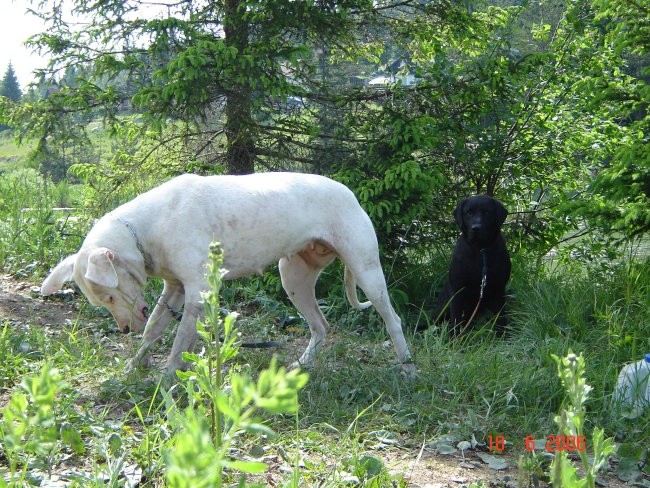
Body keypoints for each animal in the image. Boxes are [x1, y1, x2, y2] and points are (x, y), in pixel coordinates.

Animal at [40, 173, 412, 376]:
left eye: (109, 294)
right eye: (102, 301)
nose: (123, 330)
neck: (148, 228)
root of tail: (349, 193)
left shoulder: (196, 294)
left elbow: (179, 341)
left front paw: (168, 376)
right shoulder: (174, 289)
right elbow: (154, 328)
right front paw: (135, 365)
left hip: (366, 272)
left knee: (393, 320)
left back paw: (407, 367)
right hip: (293, 278)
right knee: (320, 325)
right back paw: (301, 366)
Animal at [432, 194, 508, 336]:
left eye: (486, 212)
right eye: (469, 212)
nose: (476, 228)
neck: (480, 250)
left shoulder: (499, 289)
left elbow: (501, 318)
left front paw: (502, 337)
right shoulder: (458, 290)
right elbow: (455, 319)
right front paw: (455, 339)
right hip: (442, 309)